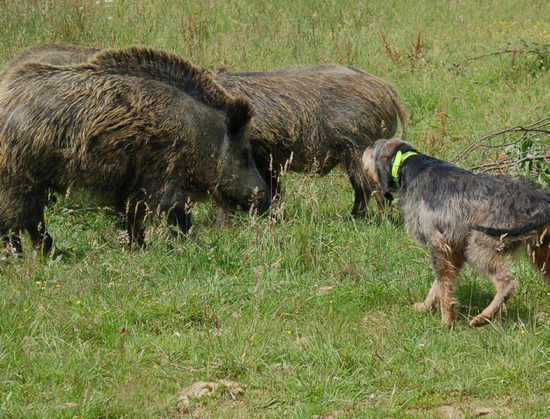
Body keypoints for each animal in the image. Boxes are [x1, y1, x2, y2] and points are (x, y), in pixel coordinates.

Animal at [364, 139, 548, 328]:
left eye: (373, 149)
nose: (365, 148)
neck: (409, 166)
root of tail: (539, 199)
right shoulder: (454, 250)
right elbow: (438, 284)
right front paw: (426, 306)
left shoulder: (437, 244)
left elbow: (443, 284)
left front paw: (446, 321)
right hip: (541, 254)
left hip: (479, 247)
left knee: (507, 282)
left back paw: (483, 317)